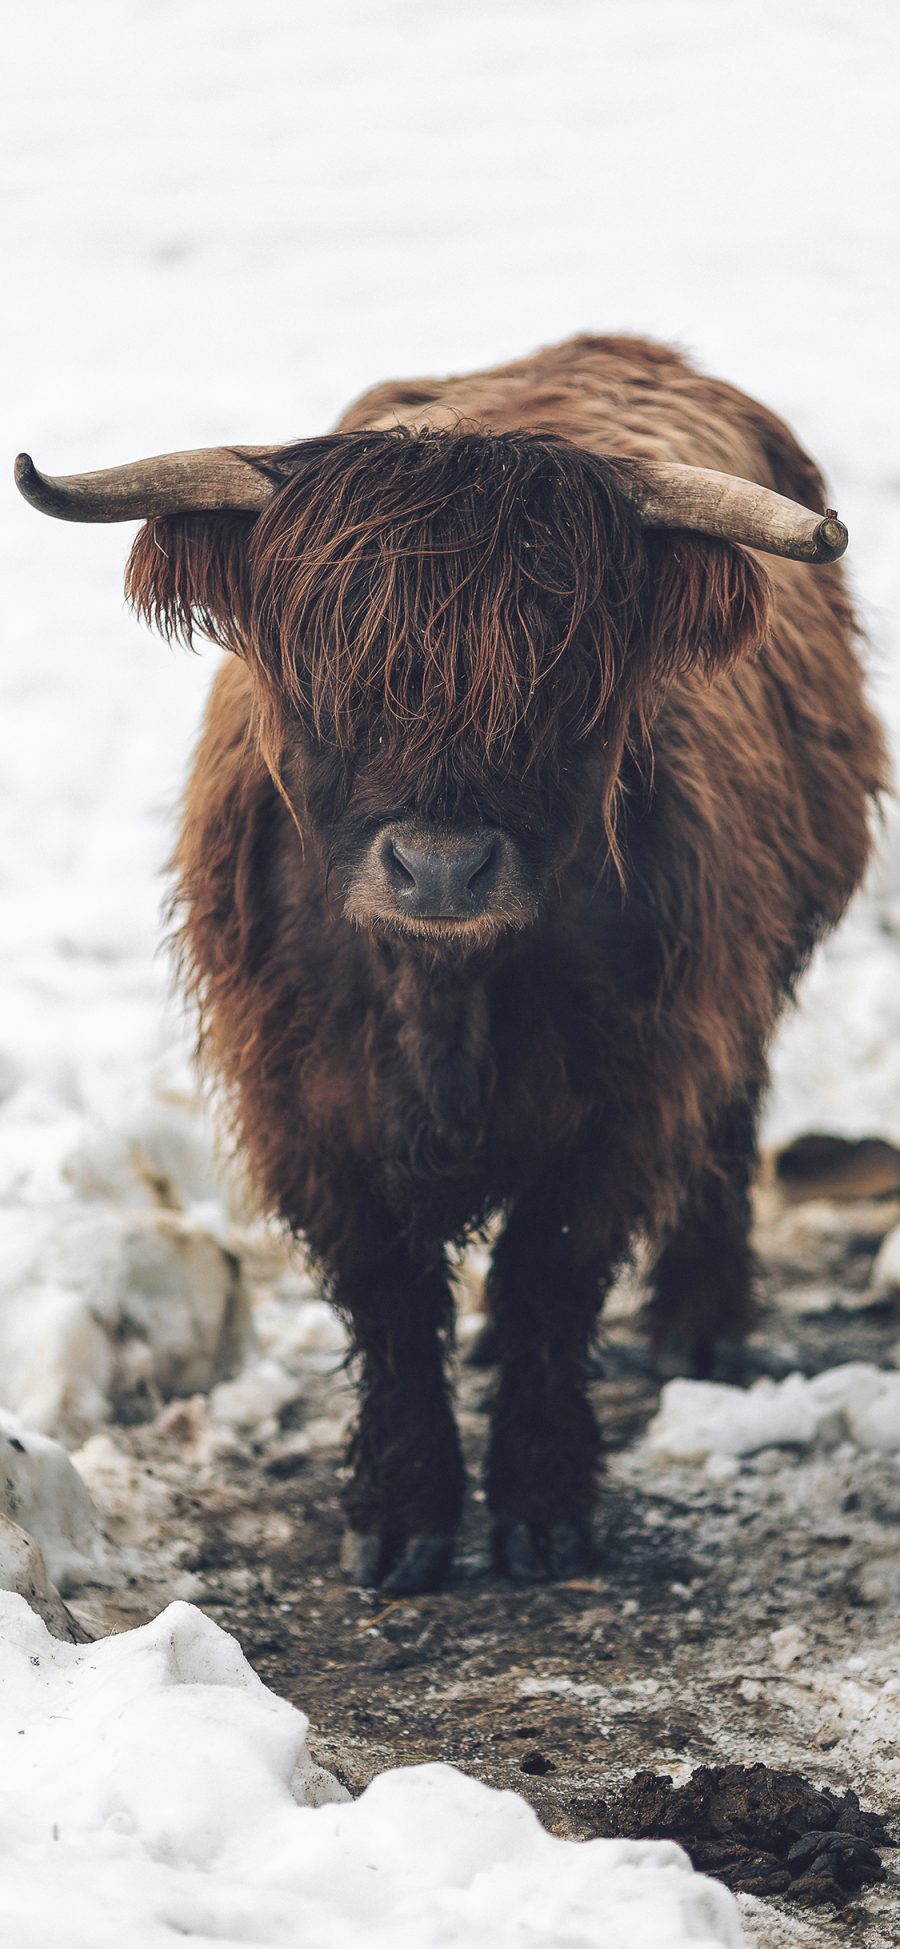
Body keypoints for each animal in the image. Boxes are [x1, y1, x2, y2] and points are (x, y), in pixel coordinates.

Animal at [15, 335, 884, 1582]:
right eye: (325, 680)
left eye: (567, 689)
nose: (439, 868)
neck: (441, 992)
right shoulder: (301, 1098)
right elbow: (387, 1292)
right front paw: (402, 1513)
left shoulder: (629, 1084)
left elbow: (550, 1273)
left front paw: (543, 1502)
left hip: (749, 974)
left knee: (727, 1113)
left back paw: (701, 1323)